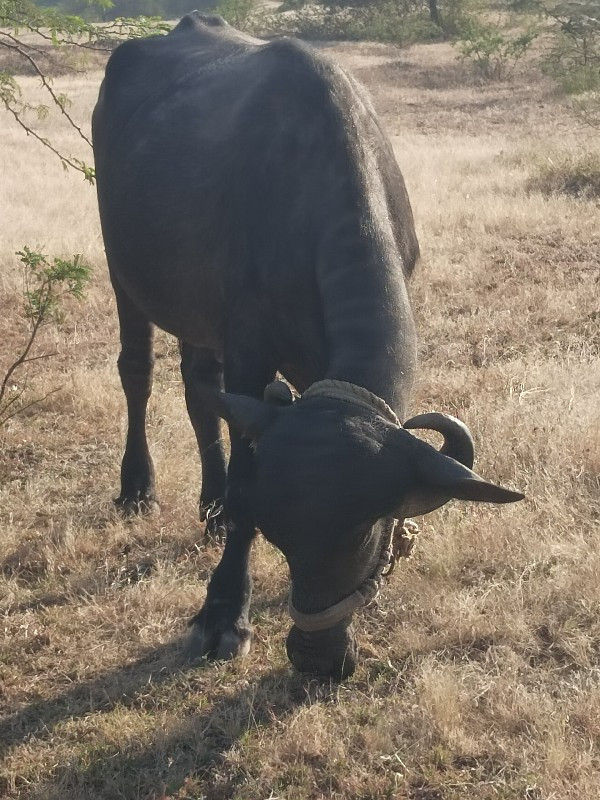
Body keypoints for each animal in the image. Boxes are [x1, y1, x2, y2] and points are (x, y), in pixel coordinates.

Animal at [91, 12, 524, 680]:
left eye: (369, 530)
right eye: (279, 529)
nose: (316, 657)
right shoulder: (248, 348)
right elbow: (243, 472)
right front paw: (223, 613)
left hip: (197, 319)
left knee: (197, 388)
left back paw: (210, 506)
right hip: (126, 278)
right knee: (137, 373)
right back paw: (139, 487)